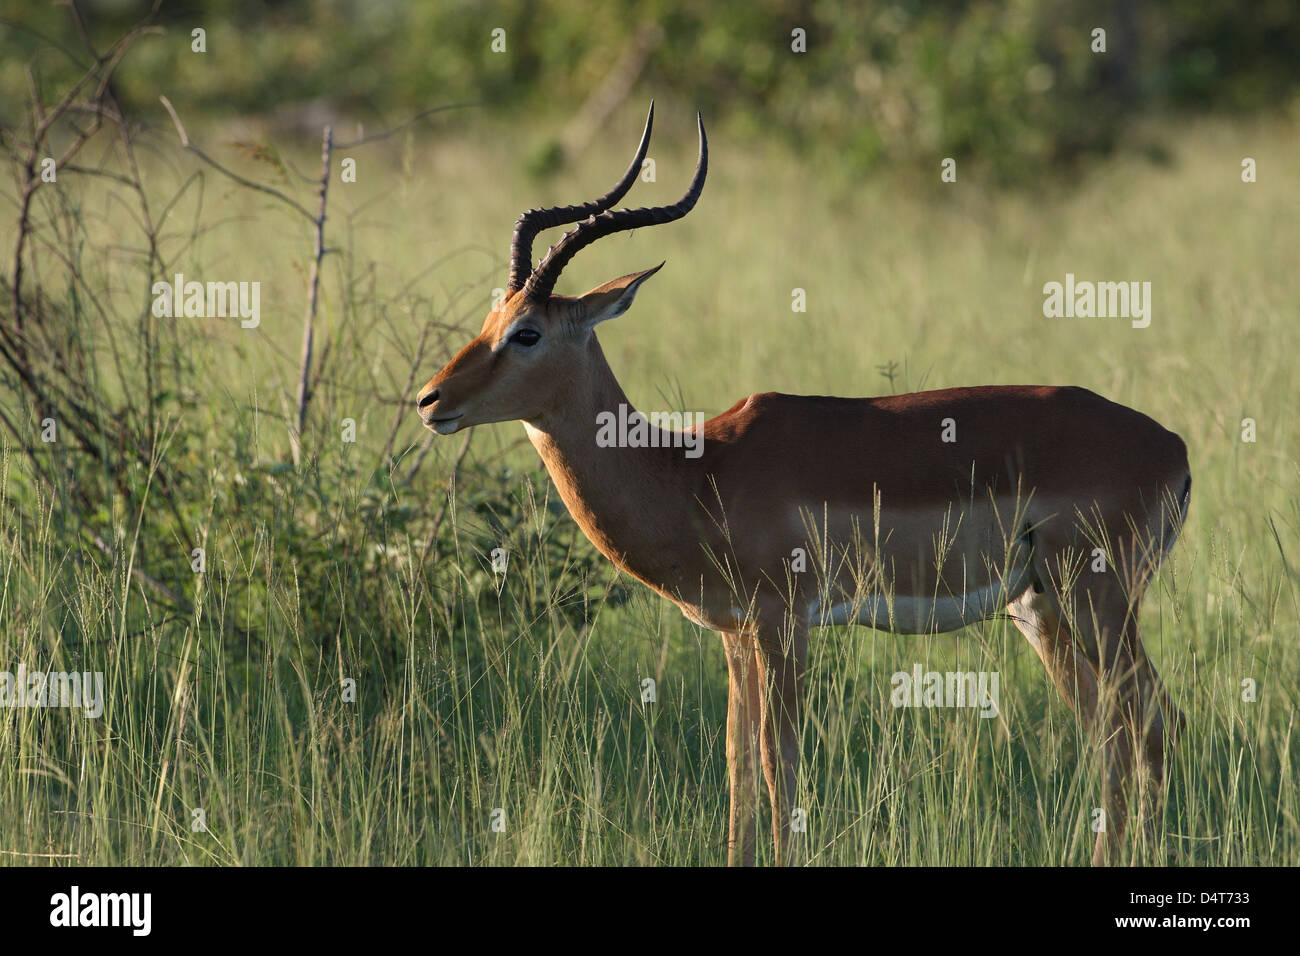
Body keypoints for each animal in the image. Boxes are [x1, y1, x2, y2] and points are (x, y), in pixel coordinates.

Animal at [416, 104, 1190, 866]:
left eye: (526, 332)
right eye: (489, 318)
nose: (430, 399)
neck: (692, 471)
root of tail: (1173, 447)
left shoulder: (783, 622)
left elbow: (776, 763)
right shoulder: (735, 636)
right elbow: (737, 769)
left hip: (1098, 599)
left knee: (1154, 722)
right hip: (1038, 608)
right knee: (1113, 728)